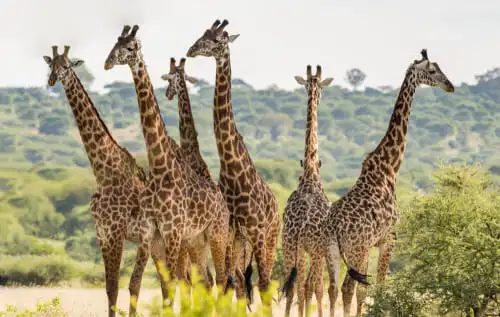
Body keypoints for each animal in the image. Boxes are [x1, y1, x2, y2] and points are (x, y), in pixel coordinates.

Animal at [42, 45, 170, 316]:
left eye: (67, 65)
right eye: (50, 65)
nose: (52, 80)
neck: (104, 173)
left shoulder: (125, 234)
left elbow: (131, 285)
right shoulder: (103, 234)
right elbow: (110, 287)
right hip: (159, 248)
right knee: (170, 284)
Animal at [104, 24, 232, 314]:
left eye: (130, 47)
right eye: (115, 43)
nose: (107, 63)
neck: (160, 167)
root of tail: (222, 201)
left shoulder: (173, 232)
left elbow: (172, 284)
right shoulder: (151, 233)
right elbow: (147, 283)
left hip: (216, 235)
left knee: (221, 280)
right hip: (196, 241)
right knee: (207, 280)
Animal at [187, 19, 282, 304]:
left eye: (218, 40)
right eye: (203, 34)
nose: (191, 50)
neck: (230, 166)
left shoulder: (256, 230)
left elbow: (262, 284)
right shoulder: (231, 232)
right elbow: (230, 283)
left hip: (270, 237)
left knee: (265, 280)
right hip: (242, 243)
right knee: (239, 281)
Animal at [320, 49, 458, 316]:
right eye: (433, 70)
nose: (450, 85)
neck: (390, 167)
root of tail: (334, 228)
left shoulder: (375, 243)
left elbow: (366, 290)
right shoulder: (388, 239)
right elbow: (379, 287)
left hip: (331, 250)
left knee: (332, 288)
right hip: (356, 249)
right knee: (348, 287)